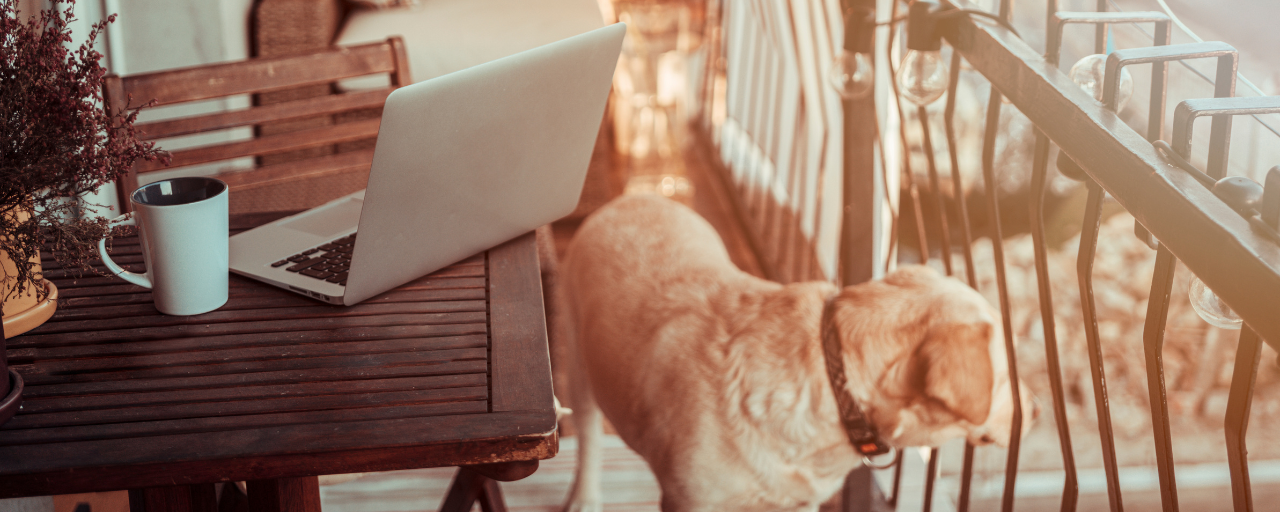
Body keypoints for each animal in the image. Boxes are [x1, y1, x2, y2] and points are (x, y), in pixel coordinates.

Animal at [555, 194, 1034, 509]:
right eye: (1006, 378)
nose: (1040, 411)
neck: (834, 380)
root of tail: (634, 197)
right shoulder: (688, 501)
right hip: (578, 365)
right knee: (588, 436)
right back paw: (584, 497)